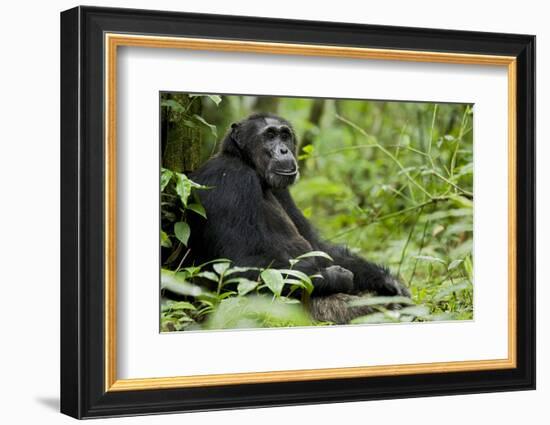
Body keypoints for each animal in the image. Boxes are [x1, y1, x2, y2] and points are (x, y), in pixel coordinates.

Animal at [188, 112, 412, 322]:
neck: (250, 166)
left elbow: (317, 245)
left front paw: (388, 282)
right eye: (270, 135)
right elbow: (239, 263)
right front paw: (336, 276)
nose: (283, 150)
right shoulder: (230, 181)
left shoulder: (283, 192)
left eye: (285, 136)